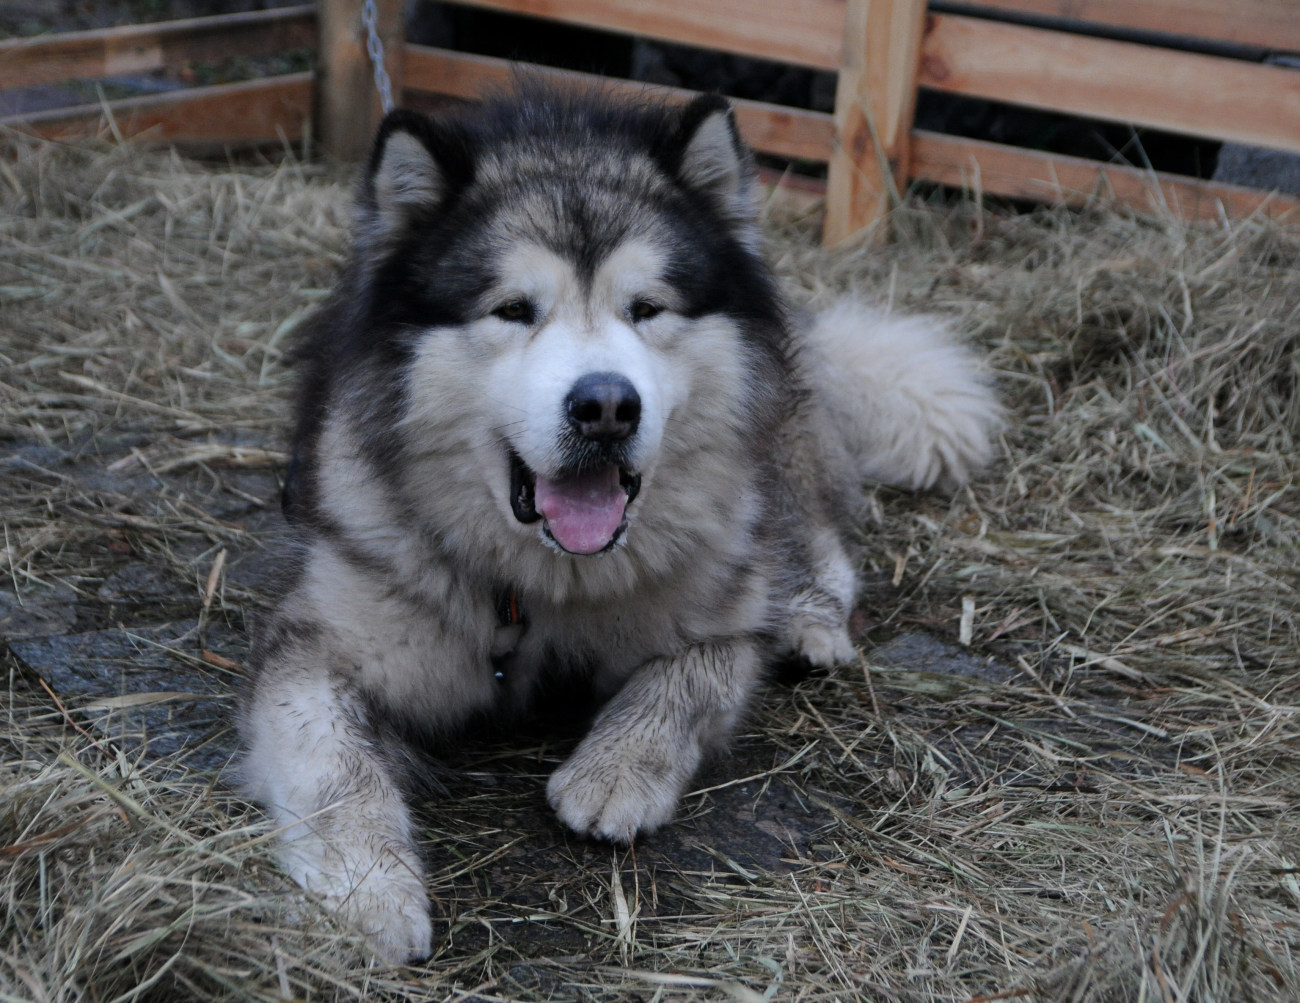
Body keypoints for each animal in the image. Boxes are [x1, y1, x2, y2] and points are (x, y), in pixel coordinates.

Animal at [236, 86, 1003, 961]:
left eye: (646, 309)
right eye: (513, 309)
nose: (605, 405)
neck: (542, 584)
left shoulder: (719, 612)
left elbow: (691, 677)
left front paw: (614, 769)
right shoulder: (321, 641)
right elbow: (334, 766)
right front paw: (366, 894)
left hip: (779, 448)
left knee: (814, 541)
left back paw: (810, 622)